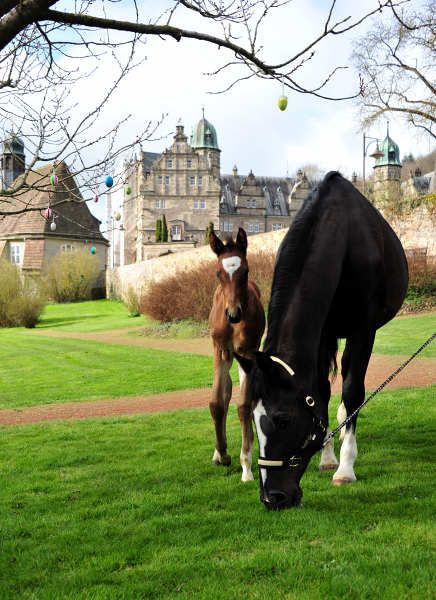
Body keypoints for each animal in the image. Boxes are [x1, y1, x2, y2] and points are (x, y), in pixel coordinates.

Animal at [235, 172, 408, 510]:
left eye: (283, 420)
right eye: (253, 418)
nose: (273, 497)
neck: (343, 236)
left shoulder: (363, 326)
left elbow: (353, 389)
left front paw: (345, 468)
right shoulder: (322, 330)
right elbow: (320, 392)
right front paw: (327, 456)